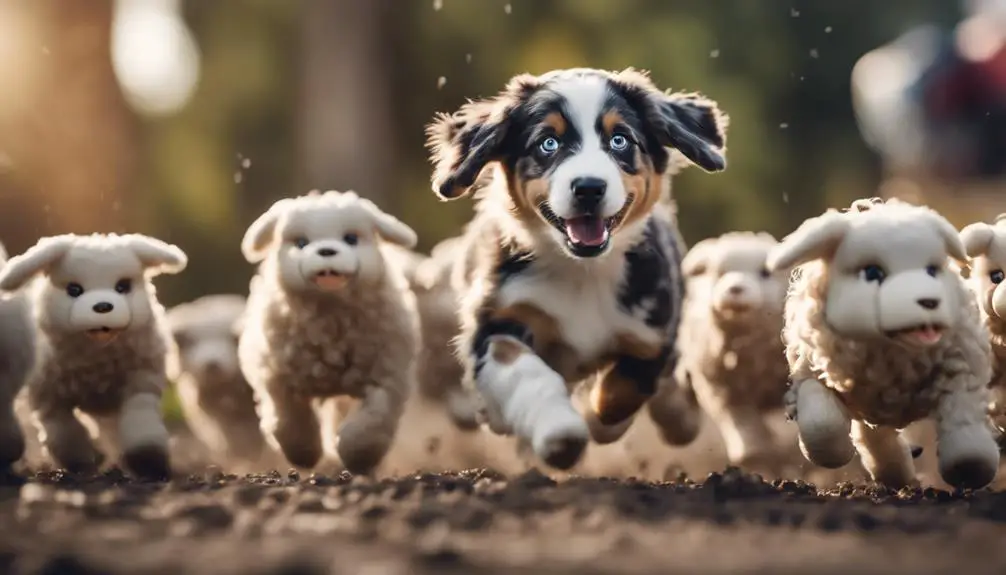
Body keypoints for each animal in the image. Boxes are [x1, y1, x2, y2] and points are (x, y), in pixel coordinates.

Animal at [424, 68, 732, 472]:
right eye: (548, 143)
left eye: (619, 140)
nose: (588, 187)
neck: (583, 272)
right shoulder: (498, 319)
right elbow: (526, 372)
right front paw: (560, 432)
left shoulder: (654, 330)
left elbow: (624, 389)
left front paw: (598, 422)